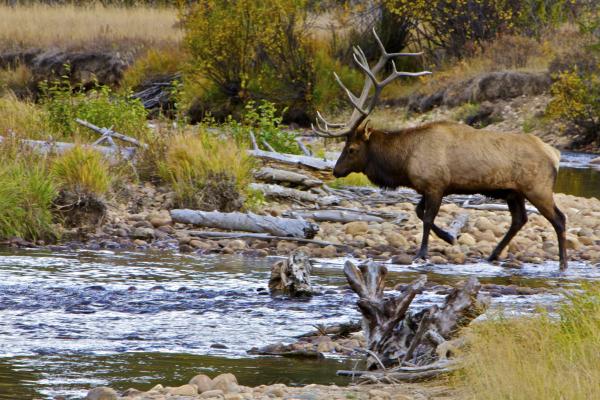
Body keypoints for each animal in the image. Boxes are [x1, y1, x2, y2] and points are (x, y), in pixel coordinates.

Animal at [314, 29, 568, 270]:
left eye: (352, 149)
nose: (336, 171)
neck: (404, 161)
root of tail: (555, 154)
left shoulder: (435, 184)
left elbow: (426, 218)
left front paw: (423, 252)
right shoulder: (428, 187)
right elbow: (419, 212)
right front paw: (448, 237)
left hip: (537, 187)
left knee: (559, 218)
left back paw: (563, 262)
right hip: (513, 192)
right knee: (519, 219)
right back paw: (493, 254)